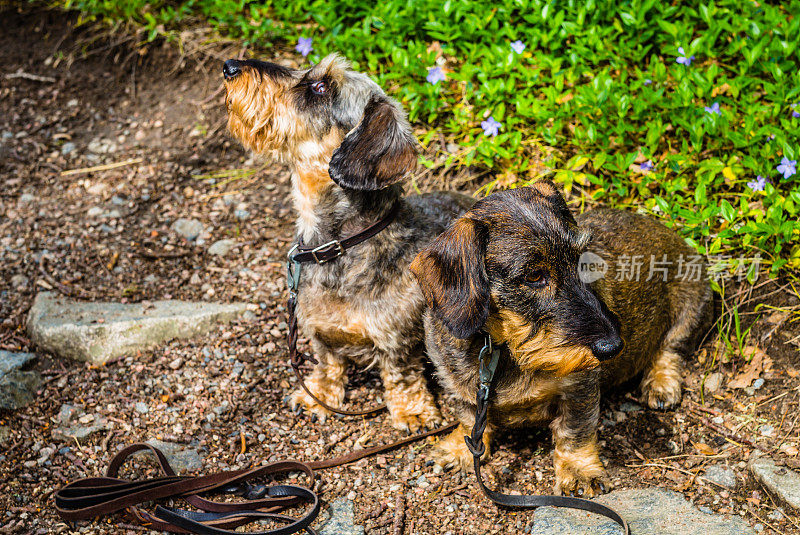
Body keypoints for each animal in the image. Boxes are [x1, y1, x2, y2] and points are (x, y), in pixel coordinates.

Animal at [412, 182, 712, 496]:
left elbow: (574, 431)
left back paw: (661, 384)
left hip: (690, 307)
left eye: (582, 260)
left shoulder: (579, 386)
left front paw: (578, 471)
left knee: (670, 349)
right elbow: (470, 417)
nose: (613, 347)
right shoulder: (459, 385)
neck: (506, 349)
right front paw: (459, 449)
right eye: (534, 275)